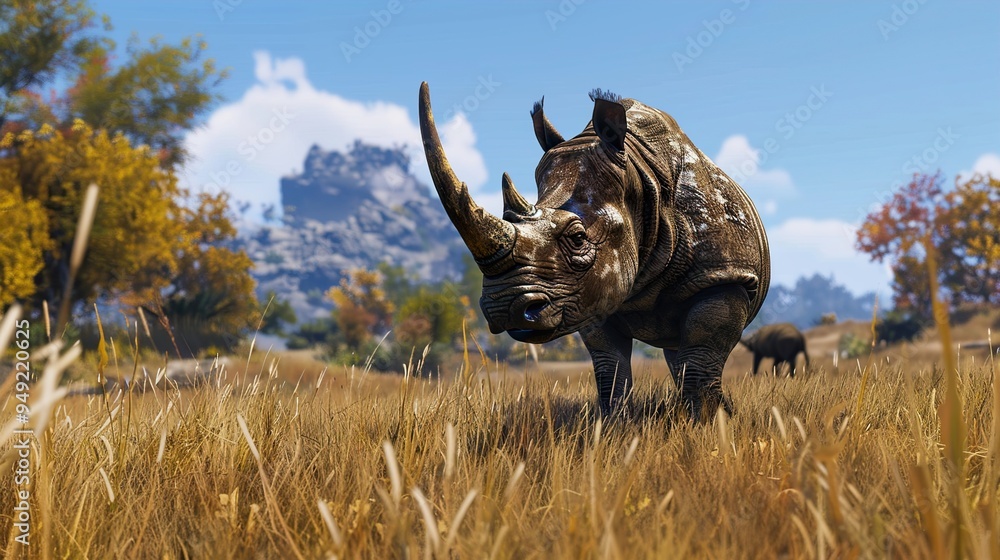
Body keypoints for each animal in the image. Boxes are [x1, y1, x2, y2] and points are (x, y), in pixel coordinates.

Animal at [418, 83, 770, 418]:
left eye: (577, 238)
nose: (504, 308)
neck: (642, 181)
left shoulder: (724, 276)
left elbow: (699, 366)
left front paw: (709, 427)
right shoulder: (591, 295)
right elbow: (609, 371)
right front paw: (616, 428)